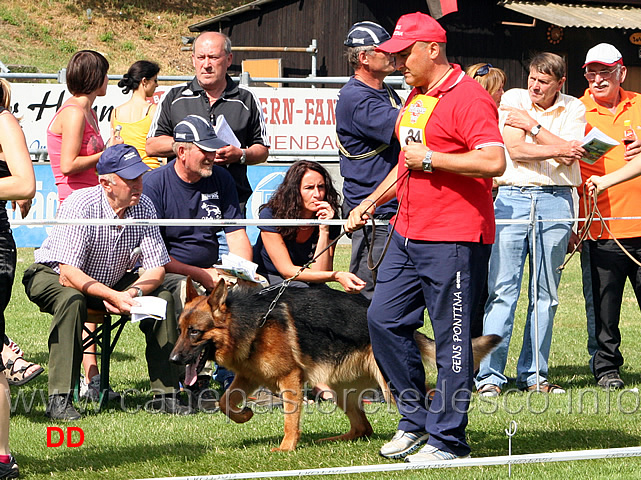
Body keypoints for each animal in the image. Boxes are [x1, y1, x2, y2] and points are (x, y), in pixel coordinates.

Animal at [171, 280, 500, 452]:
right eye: (180, 330)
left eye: (195, 332)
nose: (173, 360)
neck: (250, 322)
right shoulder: (248, 375)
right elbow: (225, 402)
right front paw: (245, 414)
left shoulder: (290, 379)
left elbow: (290, 420)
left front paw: (287, 448)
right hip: (338, 389)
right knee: (363, 428)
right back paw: (334, 440)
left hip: (389, 384)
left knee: (430, 398)